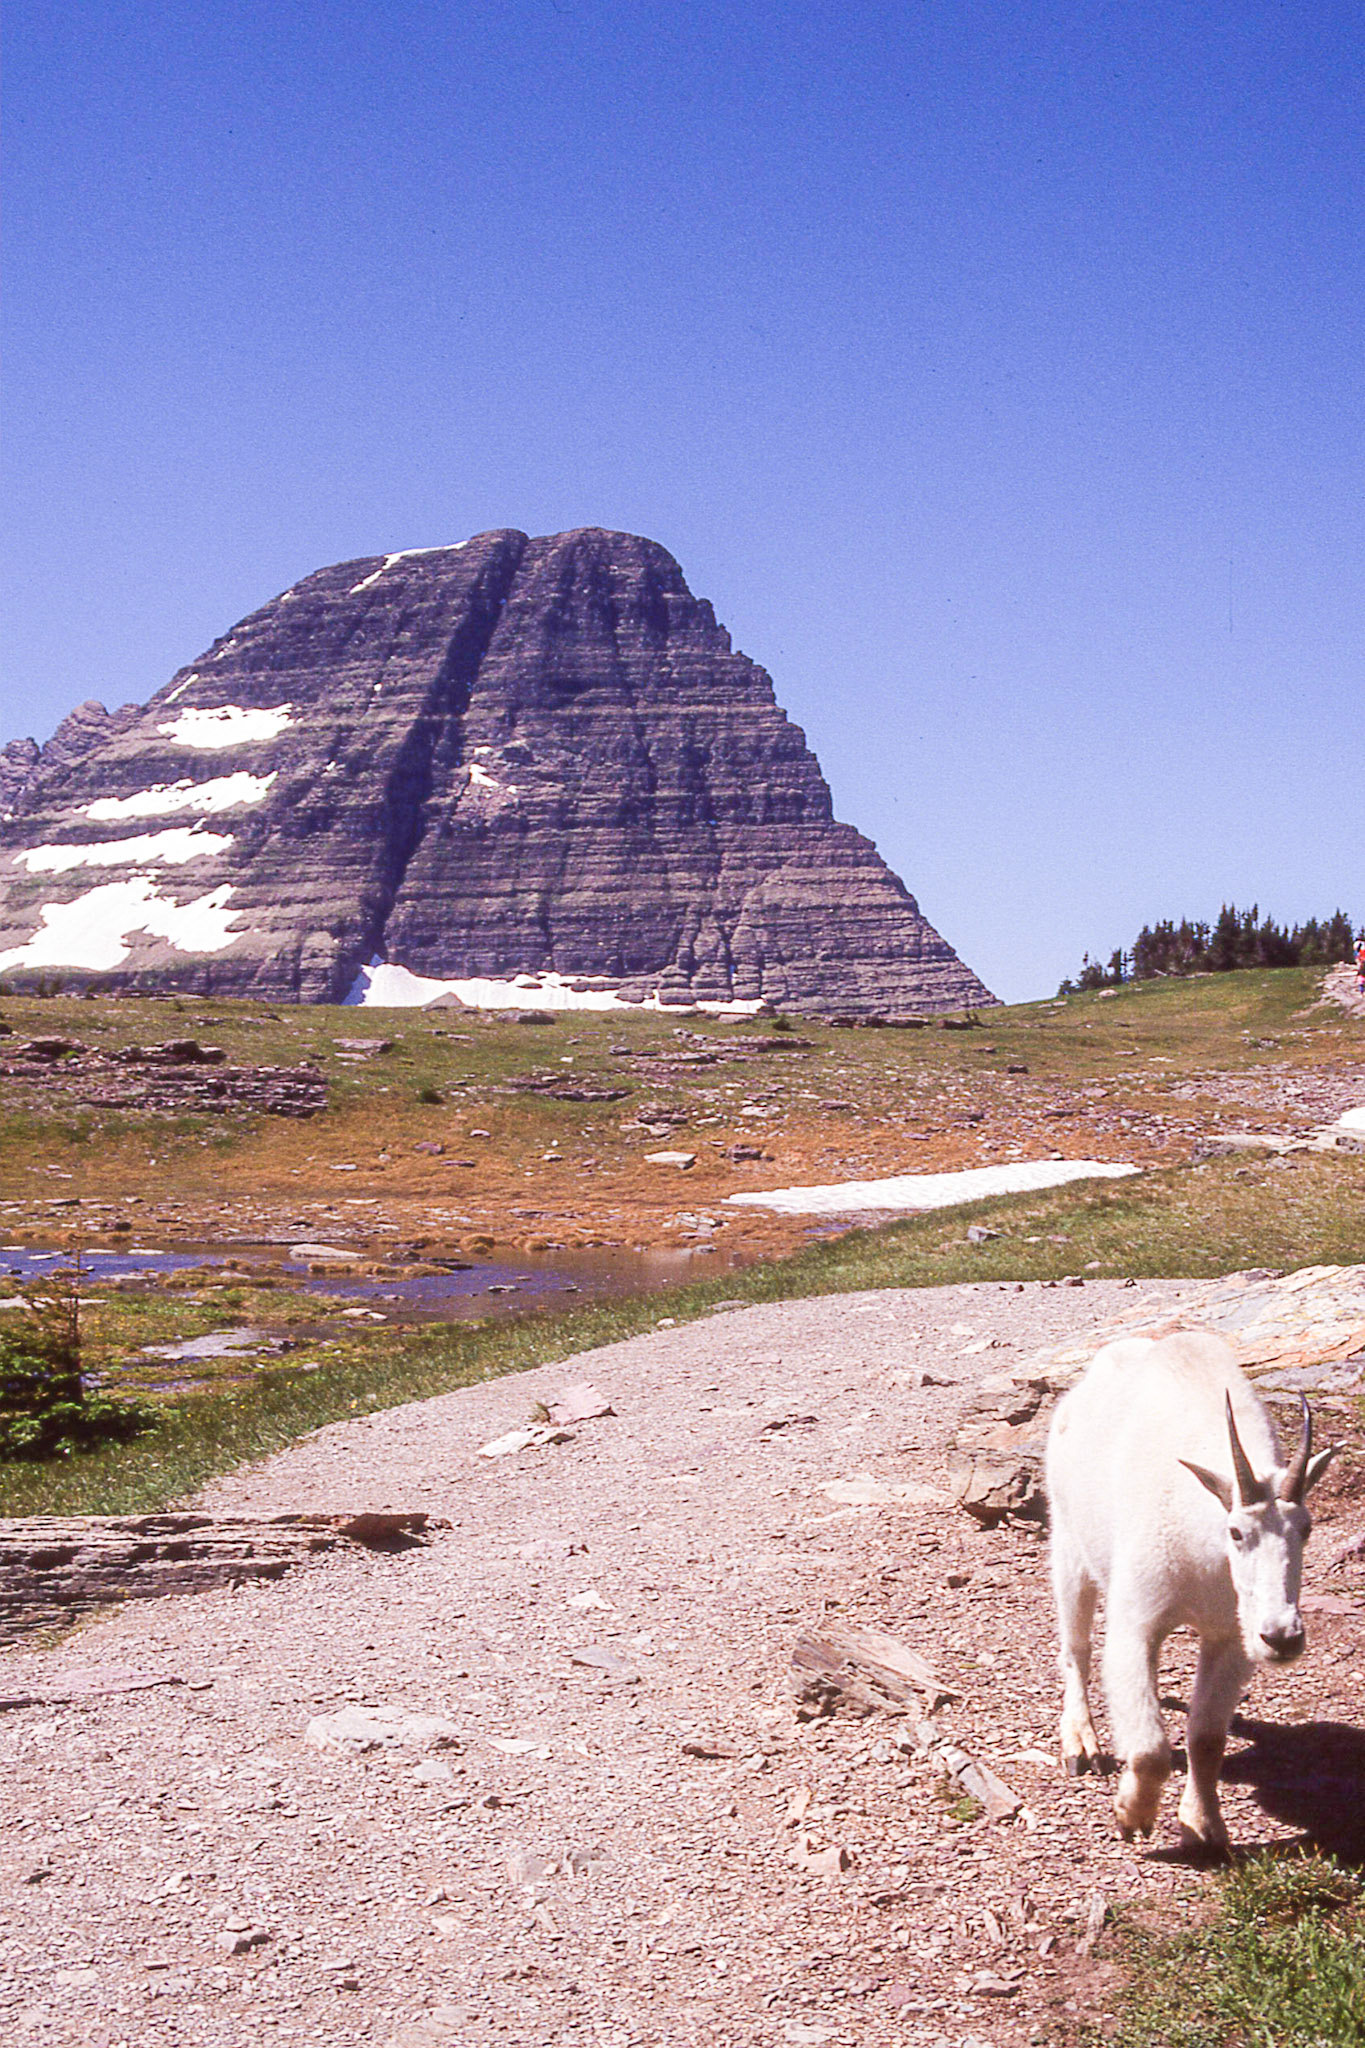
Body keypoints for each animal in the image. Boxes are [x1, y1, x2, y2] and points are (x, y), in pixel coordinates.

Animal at [1045, 1331, 1334, 1854]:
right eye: (1236, 1532)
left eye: (1307, 1528)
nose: (1283, 1638)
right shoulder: (1137, 1623)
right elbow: (1150, 1748)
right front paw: (1132, 1817)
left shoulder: (1232, 1638)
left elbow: (1206, 1738)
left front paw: (1204, 1828)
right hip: (1068, 1543)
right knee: (1075, 1647)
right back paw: (1080, 1746)